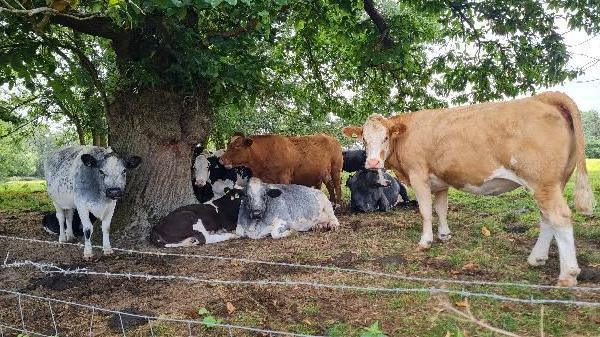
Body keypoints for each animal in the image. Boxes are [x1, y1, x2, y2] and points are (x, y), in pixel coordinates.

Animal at [342, 92, 596, 286]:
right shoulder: (440, 181)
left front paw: (426, 241)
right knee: (547, 219)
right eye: (364, 139)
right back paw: (537, 258)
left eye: (385, 137)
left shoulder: (418, 175)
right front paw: (444, 235)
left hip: (543, 182)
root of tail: (544, 96)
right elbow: (441, 208)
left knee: (559, 217)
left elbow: (425, 211)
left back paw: (568, 275)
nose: (372, 162)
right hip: (552, 184)